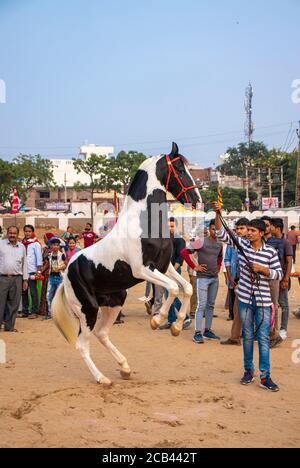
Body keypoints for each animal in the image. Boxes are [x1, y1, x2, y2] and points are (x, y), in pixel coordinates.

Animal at [52, 142, 202, 384]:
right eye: (179, 169)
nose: (197, 199)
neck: (143, 223)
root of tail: (66, 275)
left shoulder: (164, 267)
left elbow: (186, 287)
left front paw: (177, 326)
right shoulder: (143, 270)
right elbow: (172, 289)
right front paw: (157, 320)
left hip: (114, 302)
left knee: (102, 334)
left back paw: (124, 367)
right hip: (88, 310)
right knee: (82, 345)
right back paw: (102, 378)